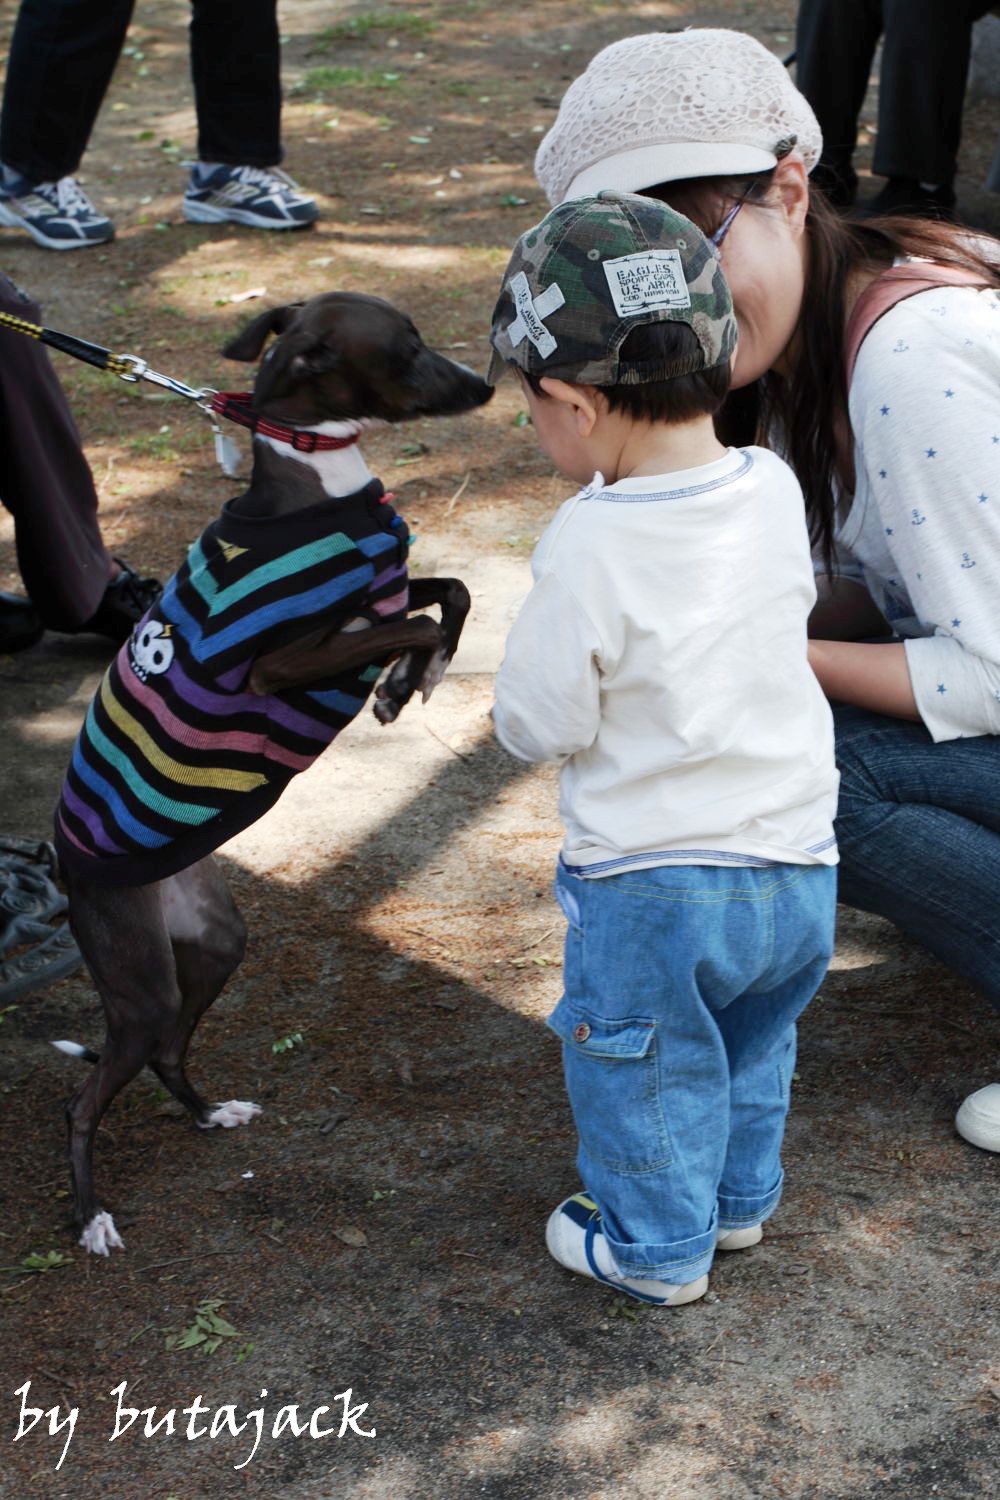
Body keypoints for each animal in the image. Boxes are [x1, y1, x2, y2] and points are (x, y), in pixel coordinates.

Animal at [53, 292, 491, 1254]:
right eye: (406, 349)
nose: (486, 385)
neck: (315, 480)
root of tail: (67, 863)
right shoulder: (281, 663)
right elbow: (418, 621)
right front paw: (404, 681)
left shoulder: (379, 594)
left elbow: (450, 592)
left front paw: (413, 676)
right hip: (138, 987)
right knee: (87, 1097)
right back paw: (92, 1214)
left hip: (214, 942)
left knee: (170, 1052)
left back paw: (209, 1113)